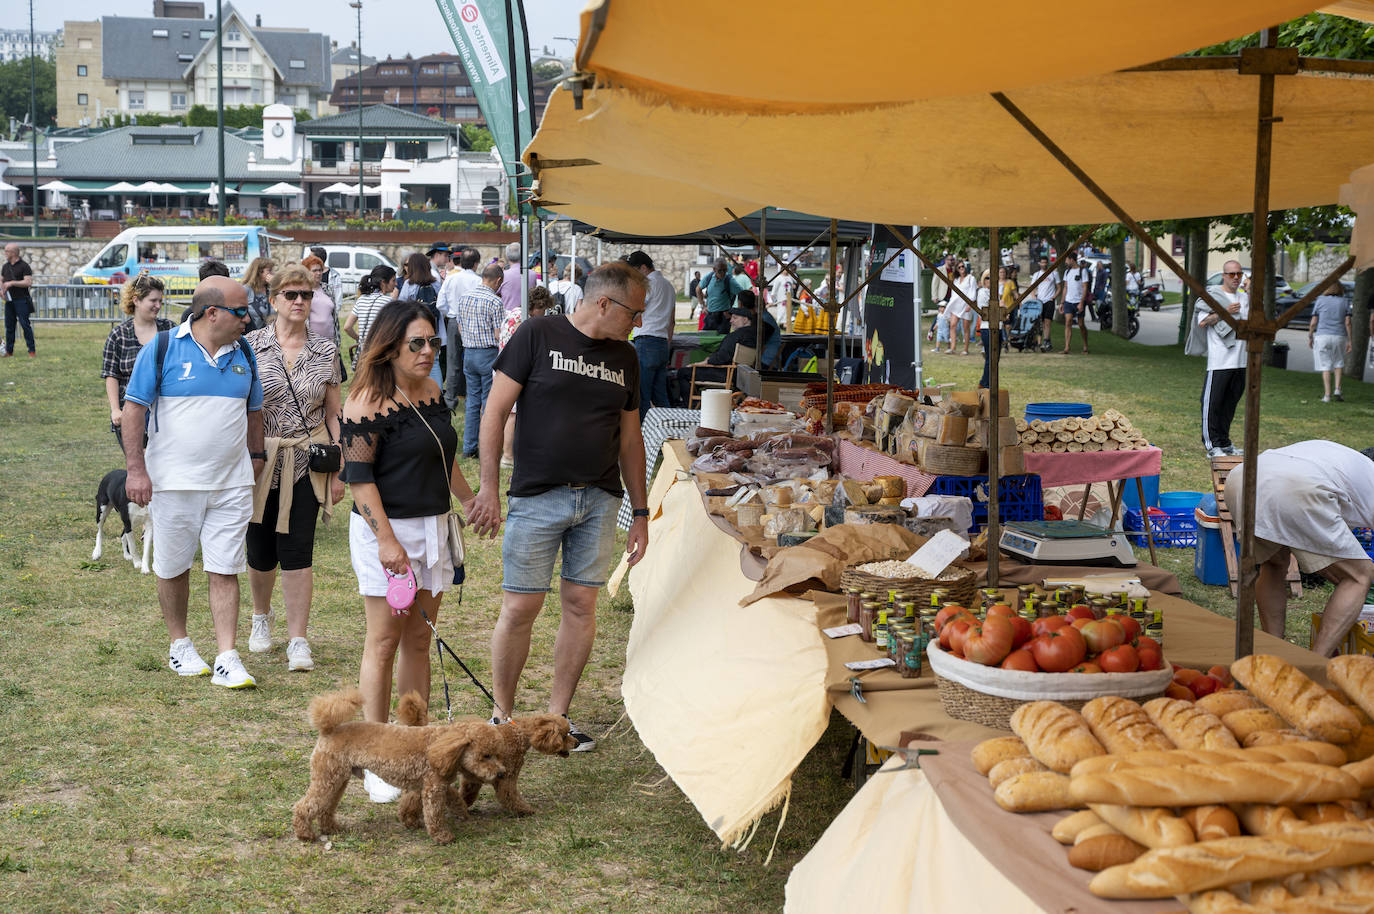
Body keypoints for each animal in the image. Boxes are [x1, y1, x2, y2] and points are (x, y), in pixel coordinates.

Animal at [292, 684, 508, 841]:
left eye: (498, 754)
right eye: (485, 756)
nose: (501, 773)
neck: (443, 745)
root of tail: (328, 730)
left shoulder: (427, 785)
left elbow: (437, 800)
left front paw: (413, 821)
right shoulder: (433, 787)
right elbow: (434, 813)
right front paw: (442, 836)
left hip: (337, 778)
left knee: (326, 807)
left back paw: (331, 828)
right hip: (327, 777)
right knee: (305, 806)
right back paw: (305, 833)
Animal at [395, 700, 577, 824]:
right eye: (564, 735)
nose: (576, 743)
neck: (518, 733)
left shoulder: (473, 778)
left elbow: (467, 794)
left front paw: (462, 806)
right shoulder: (507, 777)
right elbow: (511, 796)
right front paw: (526, 810)